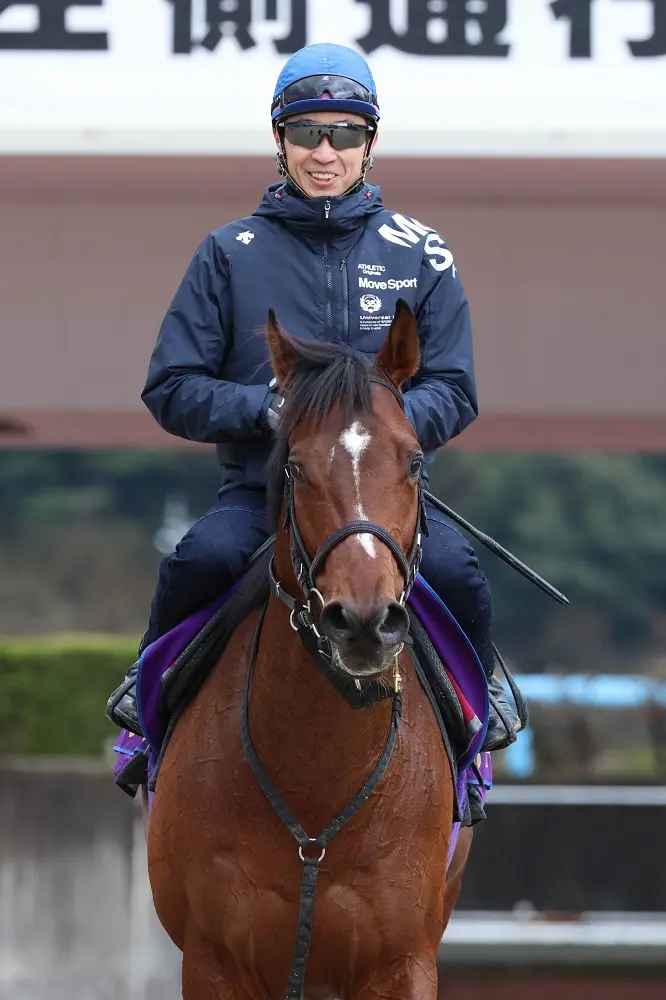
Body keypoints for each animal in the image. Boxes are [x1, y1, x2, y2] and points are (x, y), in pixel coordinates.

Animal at [145, 304, 470, 1000]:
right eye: (294, 466)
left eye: (414, 461)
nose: (365, 620)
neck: (319, 780)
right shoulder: (215, 960)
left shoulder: (401, 962)